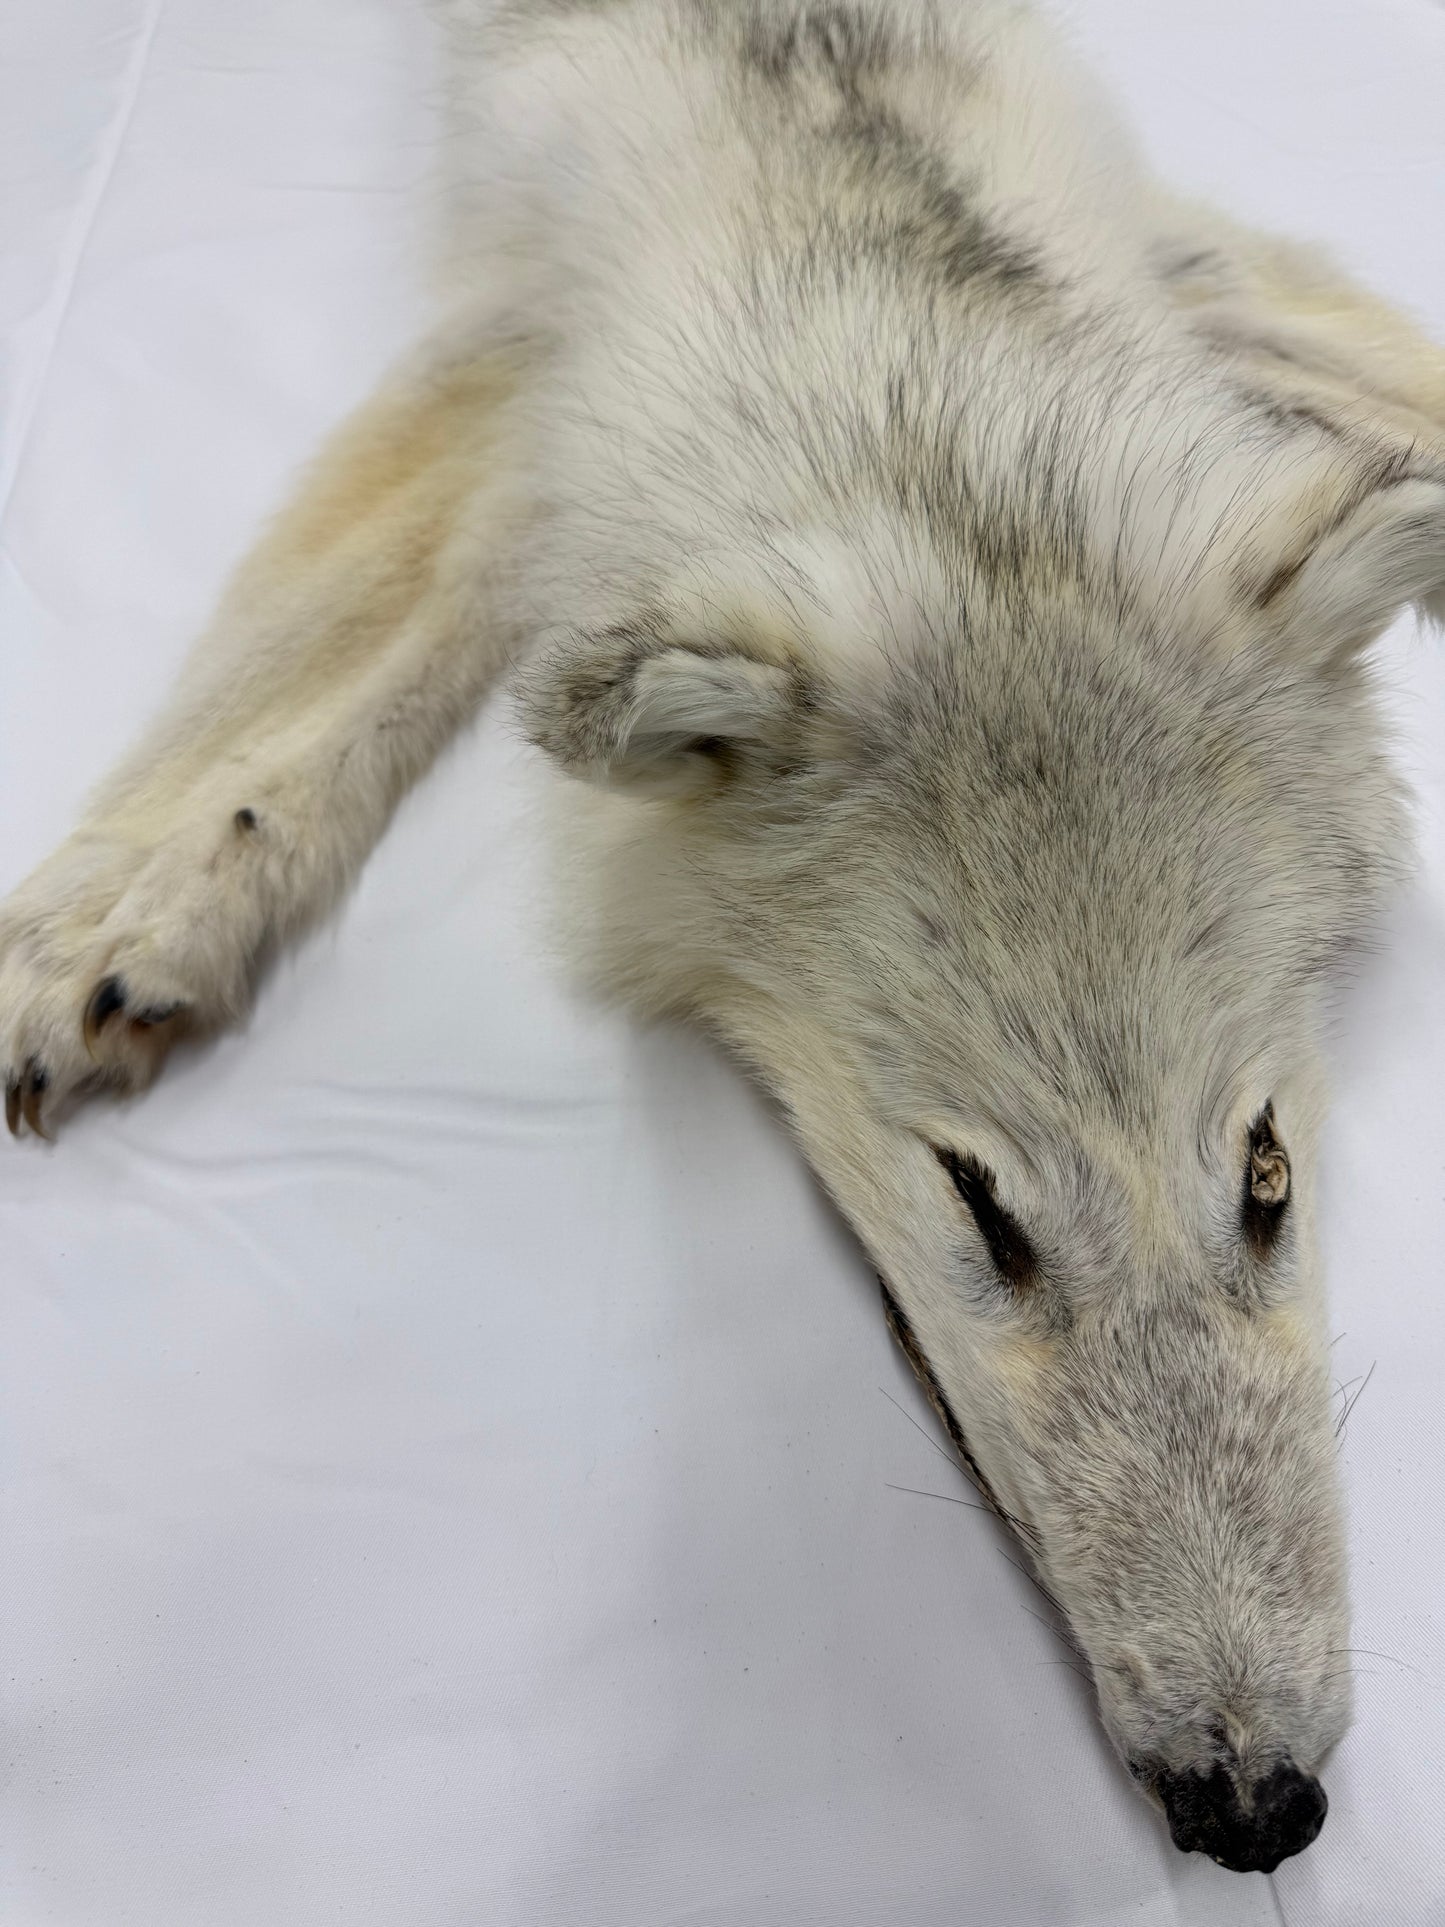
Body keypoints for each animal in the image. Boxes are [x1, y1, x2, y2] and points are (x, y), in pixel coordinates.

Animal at [3, 0, 1443, 1874]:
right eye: (981, 1206)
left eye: (1268, 1175)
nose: (1264, 1810)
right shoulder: (518, 352)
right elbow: (315, 651)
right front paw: (134, 901)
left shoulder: (1157, 231)